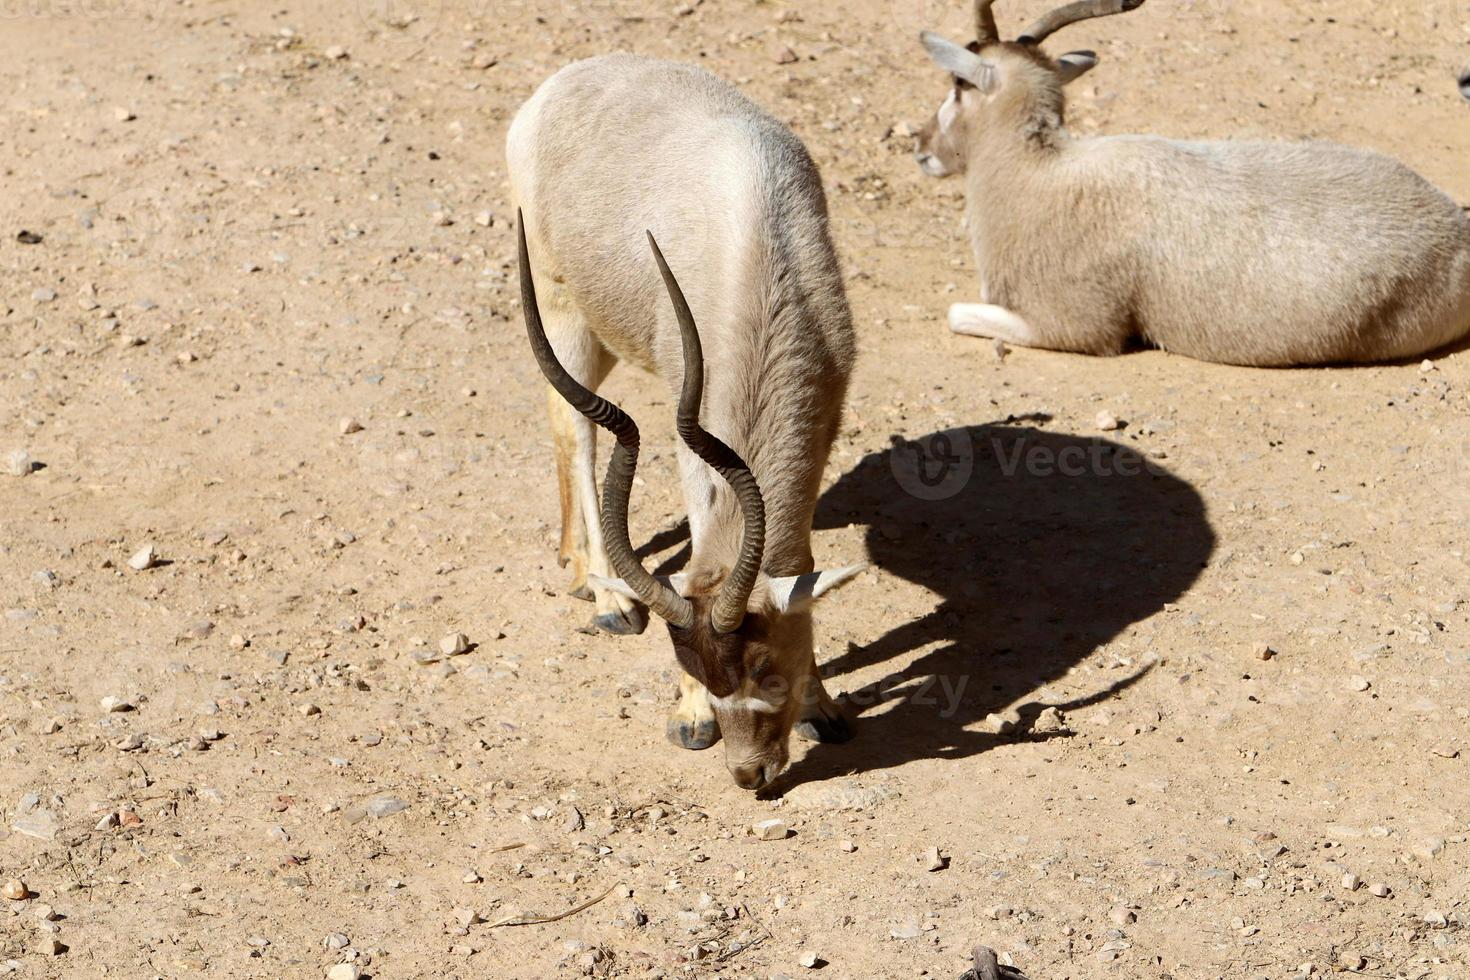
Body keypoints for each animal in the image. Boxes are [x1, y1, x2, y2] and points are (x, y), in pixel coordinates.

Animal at [511, 53, 864, 793]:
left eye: (764, 665)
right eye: (691, 665)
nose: (749, 774)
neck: (759, 255)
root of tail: (561, 82)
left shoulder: (829, 413)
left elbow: (800, 560)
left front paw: (823, 706)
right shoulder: (690, 425)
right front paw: (693, 718)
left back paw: (574, 561)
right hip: (562, 308)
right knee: (577, 427)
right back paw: (607, 598)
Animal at [911, 0, 1470, 367]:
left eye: (958, 85)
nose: (921, 146)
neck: (1039, 172)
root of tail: (1457, 232)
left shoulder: (1073, 325)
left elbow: (956, 312)